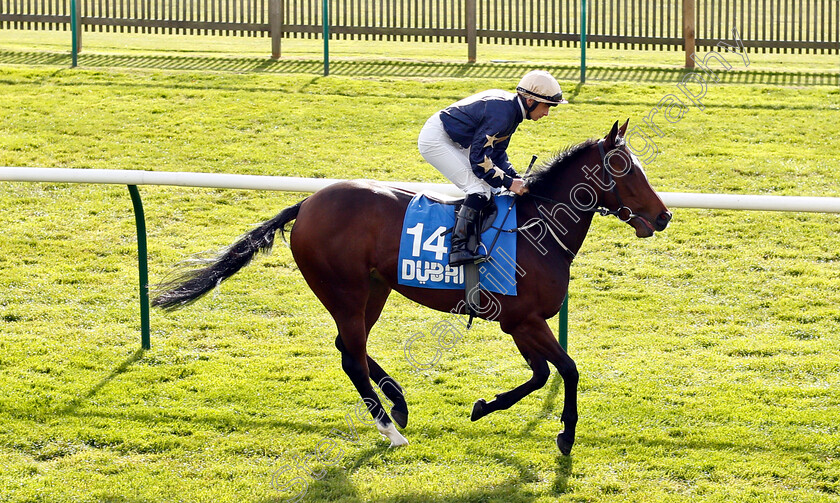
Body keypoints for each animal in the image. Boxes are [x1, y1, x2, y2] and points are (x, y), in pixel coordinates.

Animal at [151, 121, 668, 456]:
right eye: (625, 169)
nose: (663, 216)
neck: (536, 228)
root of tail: (308, 203)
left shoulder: (519, 323)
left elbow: (543, 374)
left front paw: (484, 406)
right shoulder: (525, 321)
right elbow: (567, 370)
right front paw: (564, 435)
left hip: (374, 290)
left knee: (349, 346)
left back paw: (398, 403)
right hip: (344, 290)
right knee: (351, 357)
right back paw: (390, 429)